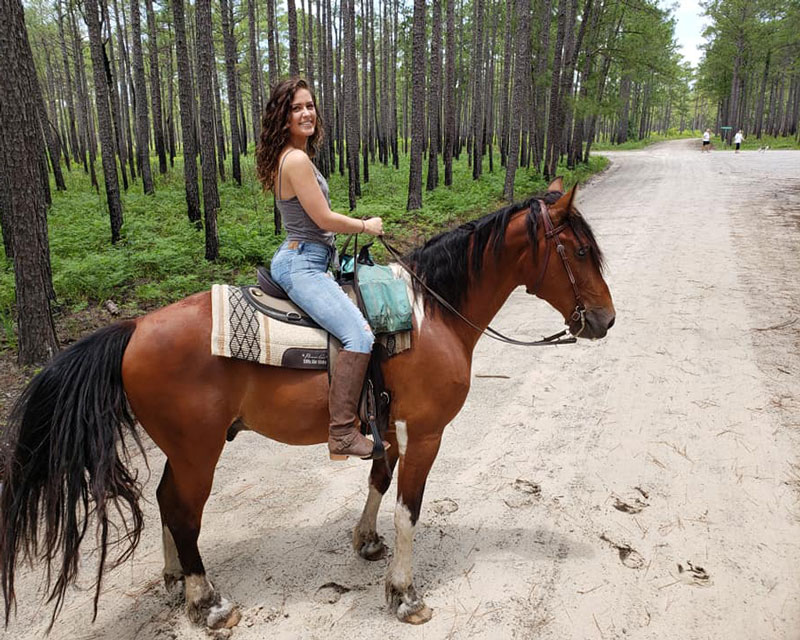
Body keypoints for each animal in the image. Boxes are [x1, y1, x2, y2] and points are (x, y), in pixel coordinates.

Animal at [0, 178, 612, 628]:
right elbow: (409, 508)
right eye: (581, 251)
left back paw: (177, 582)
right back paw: (207, 602)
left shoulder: (385, 424)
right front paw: (404, 594)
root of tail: (132, 329)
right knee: (181, 510)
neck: (431, 314)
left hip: (183, 449)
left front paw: (367, 542)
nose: (605, 321)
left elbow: (379, 479)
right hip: (199, 452)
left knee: (164, 500)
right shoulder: (425, 431)